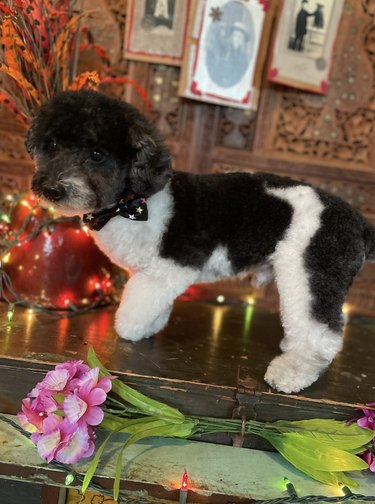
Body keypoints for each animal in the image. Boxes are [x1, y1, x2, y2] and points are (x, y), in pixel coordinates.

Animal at [26, 91, 375, 398]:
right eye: (52, 145)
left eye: (97, 155)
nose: (53, 188)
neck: (132, 204)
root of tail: (360, 222)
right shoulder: (154, 273)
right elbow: (156, 304)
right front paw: (153, 324)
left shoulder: (170, 268)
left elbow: (138, 305)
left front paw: (132, 328)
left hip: (311, 272)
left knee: (321, 334)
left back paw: (293, 371)